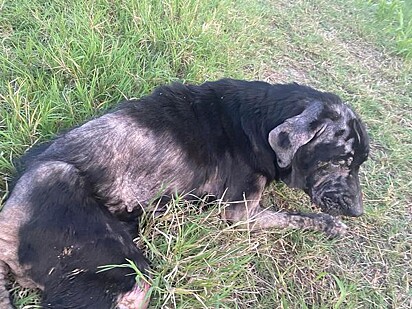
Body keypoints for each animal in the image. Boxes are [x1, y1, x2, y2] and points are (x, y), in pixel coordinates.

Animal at [0, 78, 368, 306]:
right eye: (342, 160)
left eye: (361, 162)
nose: (357, 212)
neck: (263, 122)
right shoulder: (242, 213)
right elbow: (296, 217)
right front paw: (329, 224)